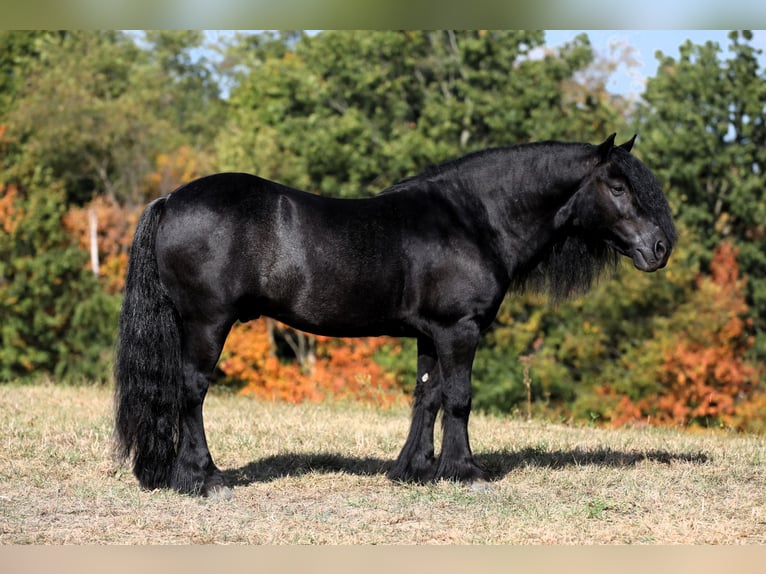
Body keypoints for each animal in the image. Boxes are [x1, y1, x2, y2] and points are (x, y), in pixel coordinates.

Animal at [114, 135, 680, 500]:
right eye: (619, 187)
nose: (660, 248)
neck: (473, 219)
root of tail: (170, 200)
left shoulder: (431, 333)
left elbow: (426, 396)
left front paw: (414, 469)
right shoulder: (460, 329)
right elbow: (458, 398)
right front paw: (464, 470)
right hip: (207, 323)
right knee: (191, 392)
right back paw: (203, 479)